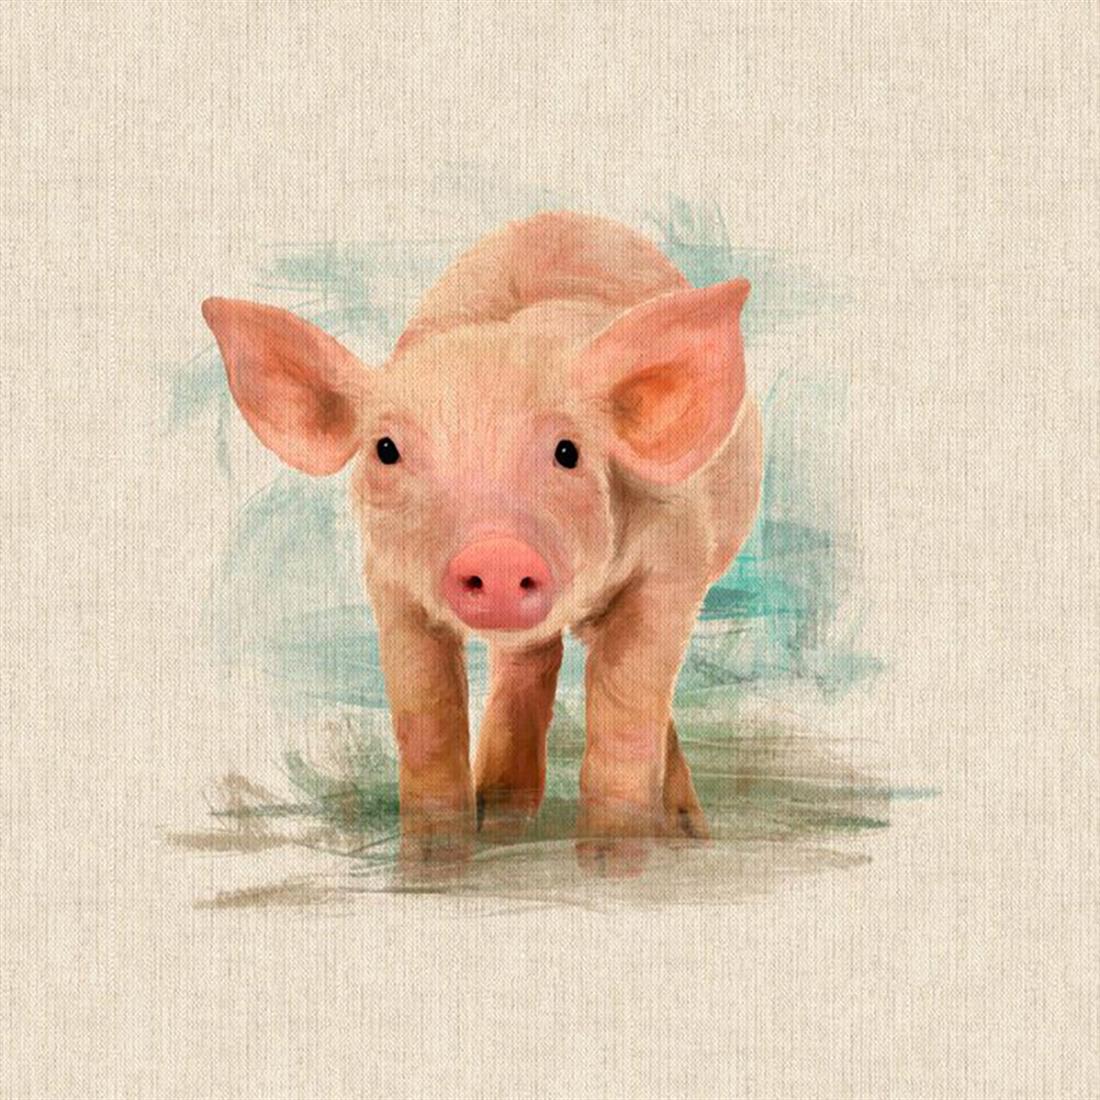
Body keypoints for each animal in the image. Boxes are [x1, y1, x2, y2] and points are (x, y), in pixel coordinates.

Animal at [202, 211, 762, 873]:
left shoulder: (675, 563)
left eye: (568, 452)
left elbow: (627, 701)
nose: (496, 552)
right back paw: (501, 820)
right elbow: (426, 711)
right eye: (386, 449)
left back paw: (685, 832)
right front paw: (431, 863)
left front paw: (610, 864)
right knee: (527, 664)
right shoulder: (389, 580)